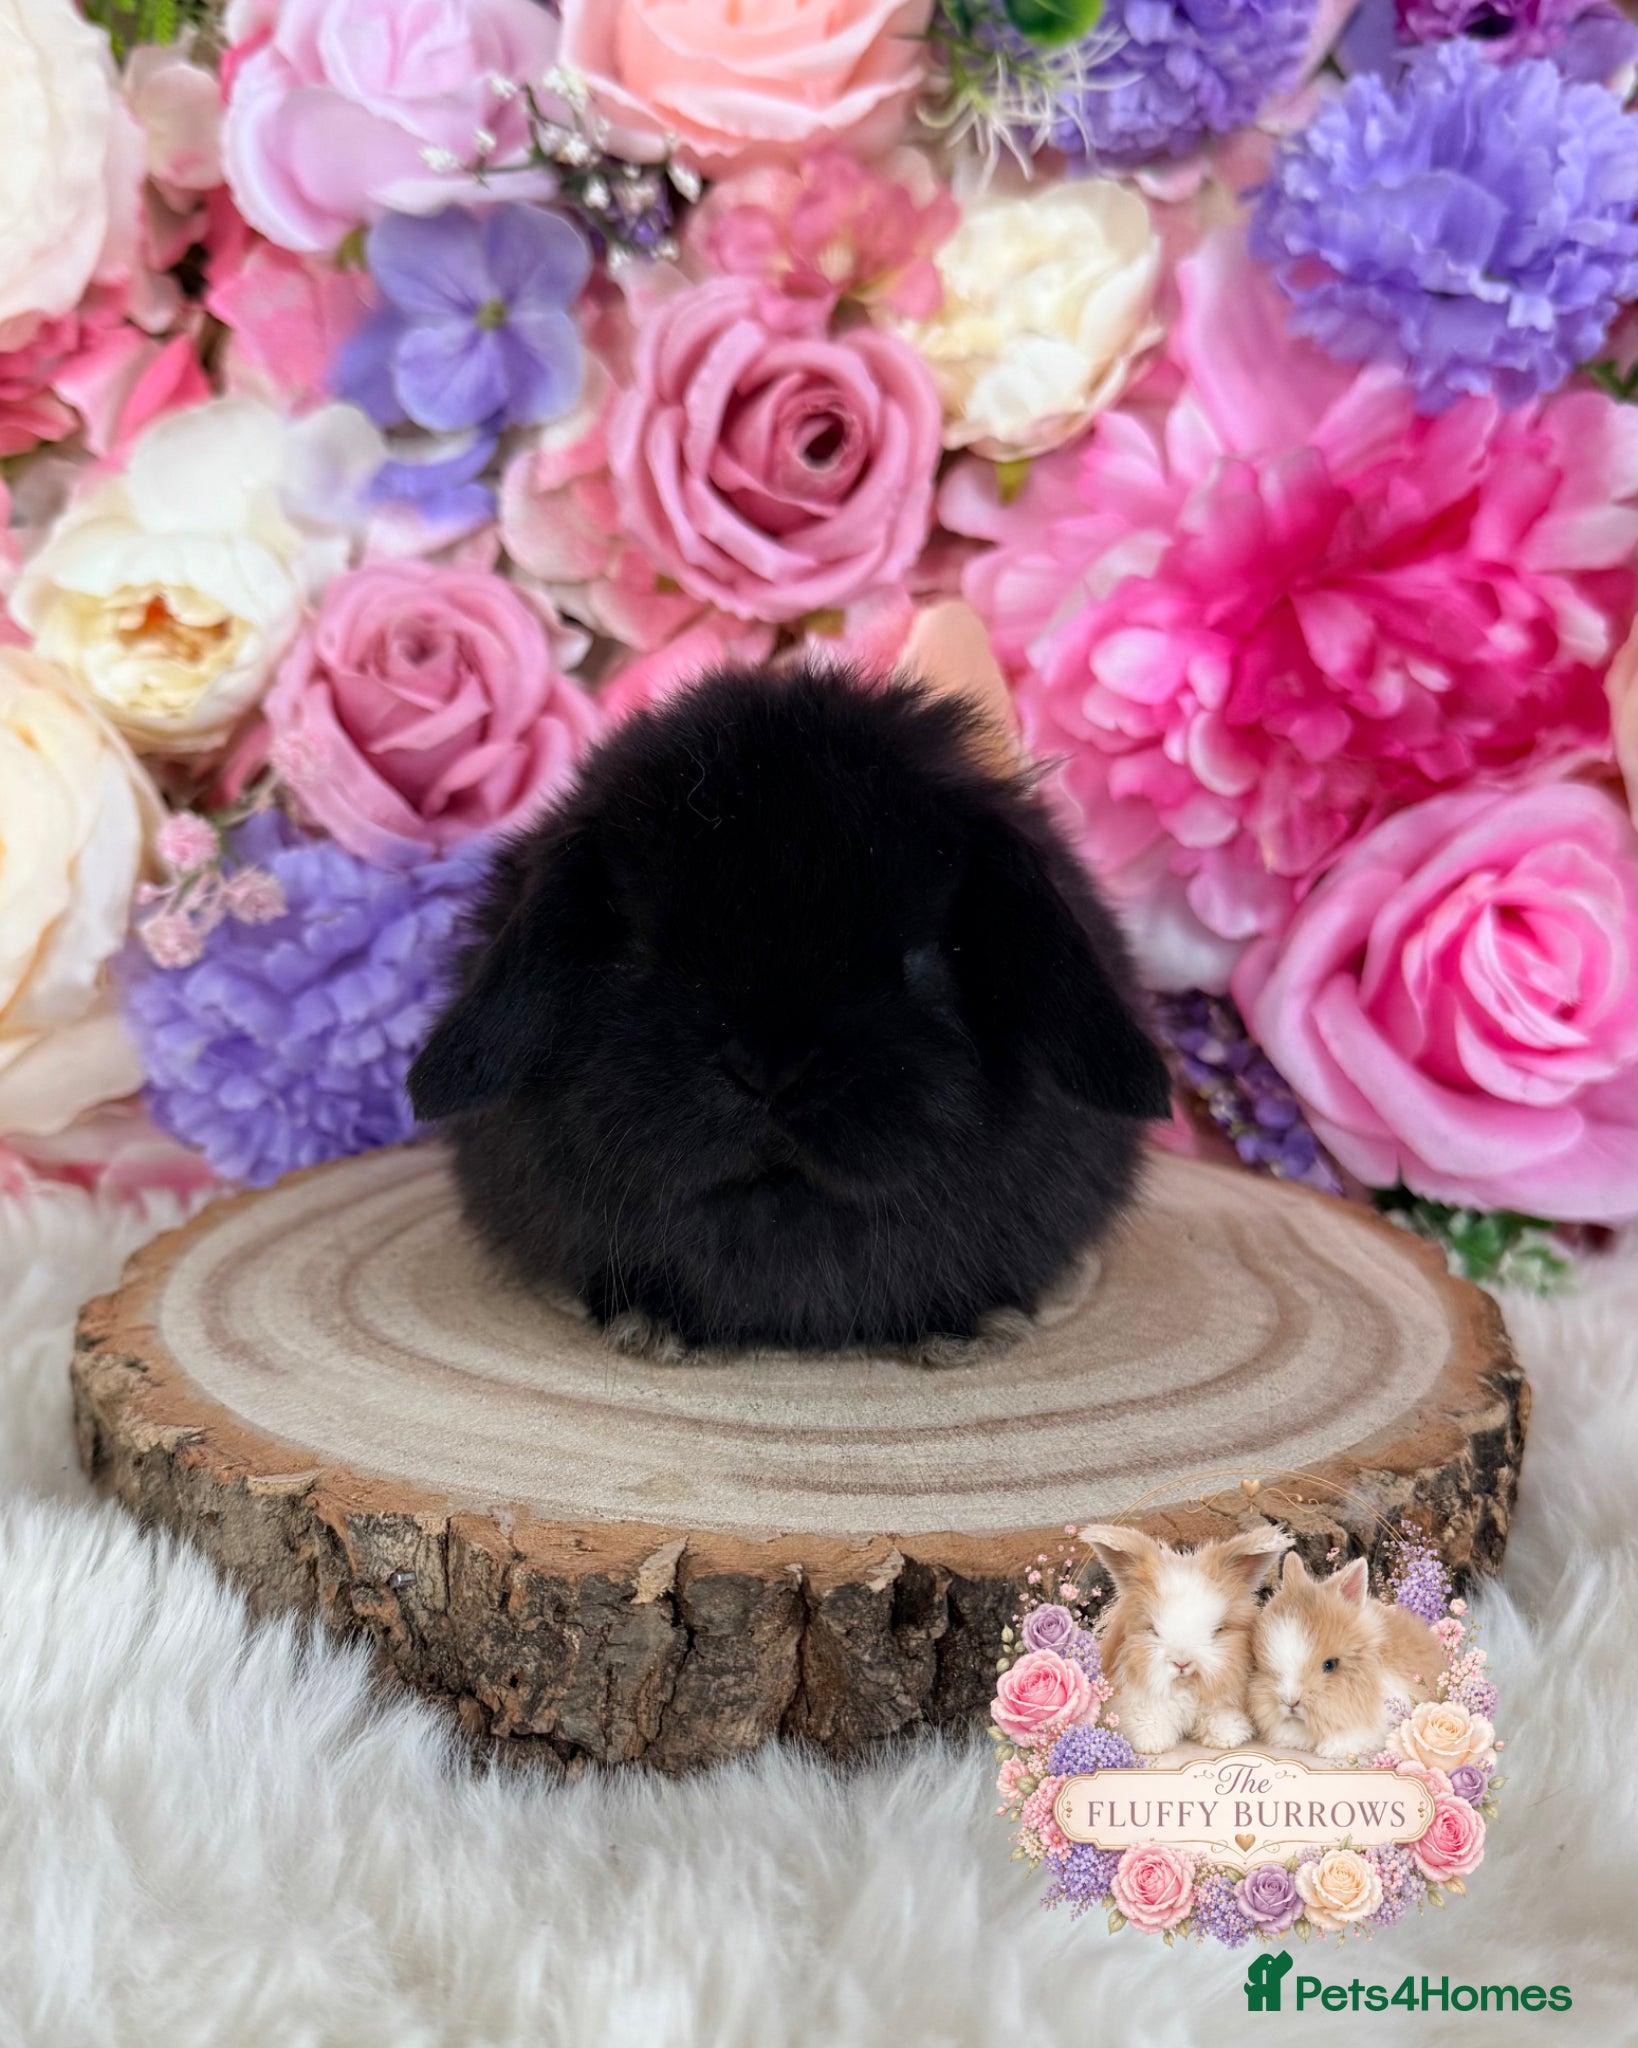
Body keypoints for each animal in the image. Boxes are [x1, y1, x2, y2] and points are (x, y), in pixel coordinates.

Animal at [1082, 1521, 1293, 1754]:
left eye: (1217, 1630)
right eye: (1153, 1630)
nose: (1182, 1663)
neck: (1185, 1686)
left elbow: (1222, 1717)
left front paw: (1225, 1738)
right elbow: (1146, 1720)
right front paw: (1152, 1744)